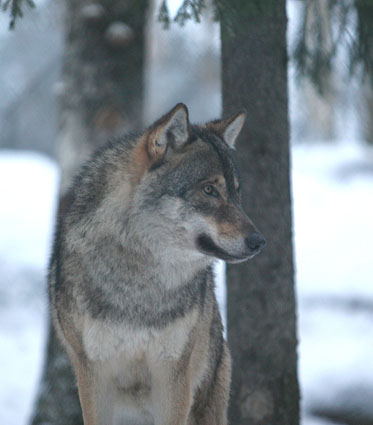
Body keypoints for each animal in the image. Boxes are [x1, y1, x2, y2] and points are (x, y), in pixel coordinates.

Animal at [48, 103, 264, 424]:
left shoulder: (172, 374)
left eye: (236, 192)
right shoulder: (94, 374)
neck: (141, 279)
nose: (259, 241)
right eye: (209, 190)